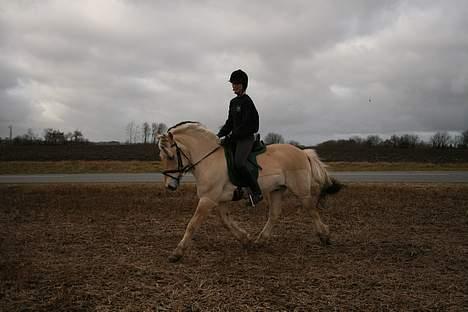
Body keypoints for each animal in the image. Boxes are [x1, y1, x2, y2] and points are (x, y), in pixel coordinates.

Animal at [157, 120, 340, 262]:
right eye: (162, 157)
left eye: (171, 156)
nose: (169, 186)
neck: (209, 159)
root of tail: (302, 152)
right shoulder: (220, 199)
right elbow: (226, 221)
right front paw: (245, 239)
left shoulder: (208, 199)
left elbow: (192, 224)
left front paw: (177, 253)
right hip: (277, 190)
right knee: (274, 214)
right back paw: (261, 240)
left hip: (300, 190)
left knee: (311, 209)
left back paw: (324, 236)